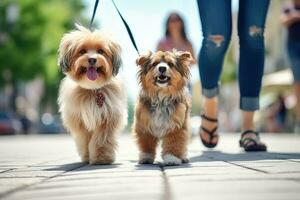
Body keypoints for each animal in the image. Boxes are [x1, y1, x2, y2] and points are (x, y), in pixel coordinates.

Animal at [57, 24, 126, 164]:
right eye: (82, 51)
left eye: (100, 51)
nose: (92, 59)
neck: (93, 88)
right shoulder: (80, 121)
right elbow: (85, 140)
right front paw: (87, 156)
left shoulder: (107, 118)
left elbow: (101, 139)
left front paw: (101, 157)